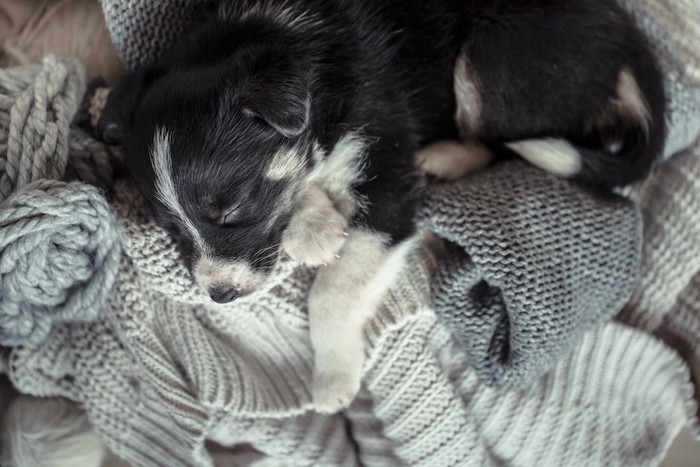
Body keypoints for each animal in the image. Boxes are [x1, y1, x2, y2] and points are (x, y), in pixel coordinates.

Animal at [97, 0, 660, 414]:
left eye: (233, 210)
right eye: (170, 229)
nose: (220, 296)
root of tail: (630, 45)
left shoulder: (391, 186)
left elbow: (331, 293)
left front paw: (333, 379)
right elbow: (305, 183)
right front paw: (315, 227)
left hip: (493, 55)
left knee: (504, 141)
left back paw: (447, 157)